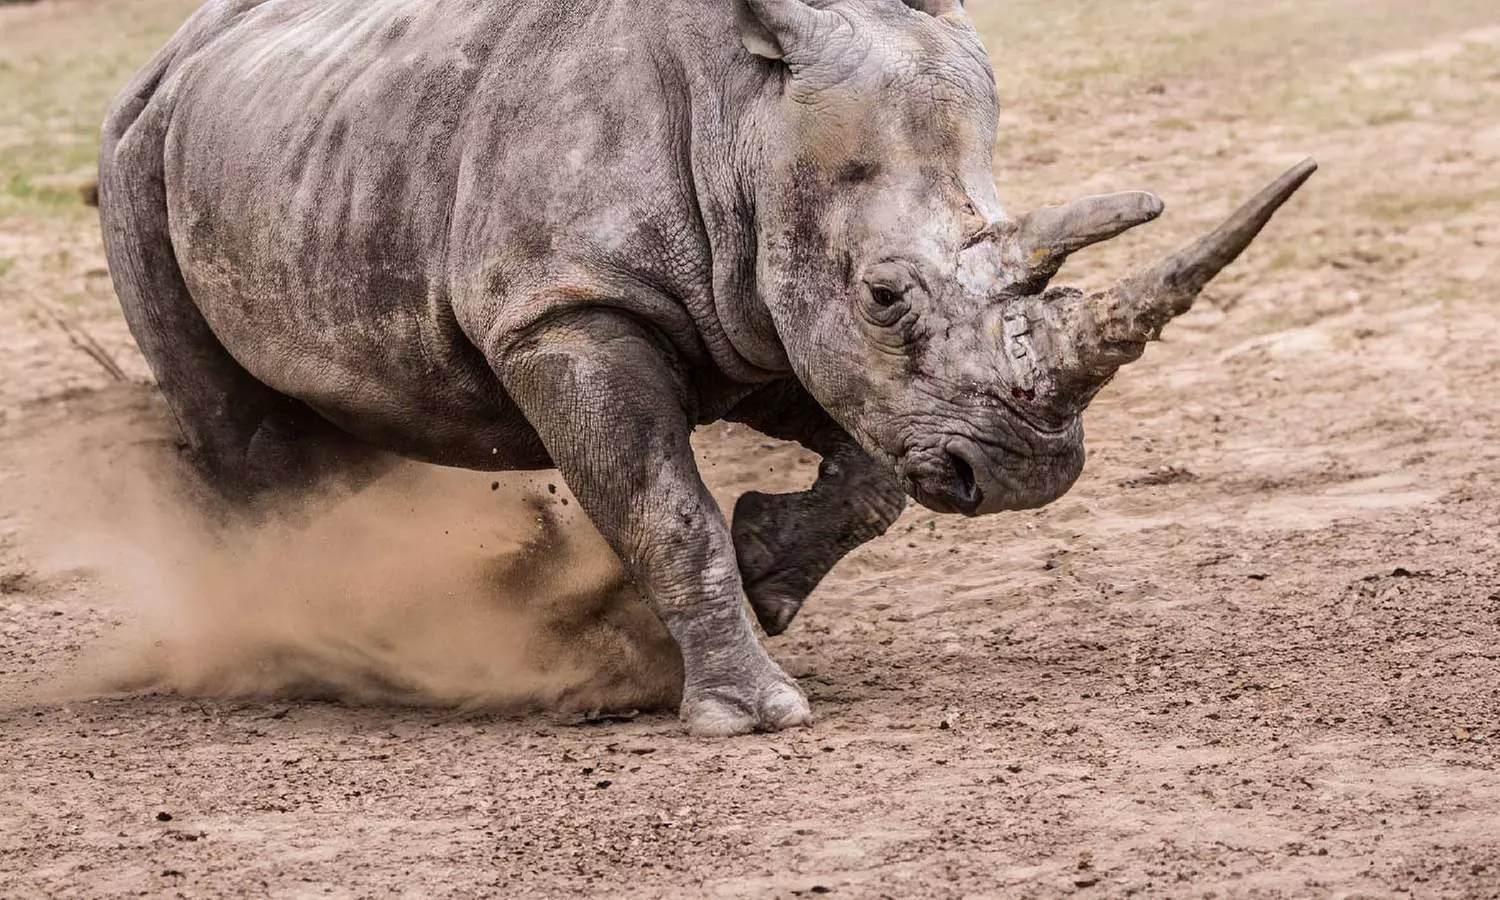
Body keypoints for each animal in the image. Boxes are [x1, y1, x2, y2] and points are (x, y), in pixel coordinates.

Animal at [99, 0, 1314, 735]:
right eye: (886, 296)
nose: (1024, 474)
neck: (748, 117)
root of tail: (176, 51)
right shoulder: (565, 311)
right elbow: (662, 507)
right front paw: (751, 713)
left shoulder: (768, 307)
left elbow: (868, 473)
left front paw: (767, 570)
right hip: (130, 151)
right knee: (240, 430)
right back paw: (314, 650)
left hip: (299, 148)